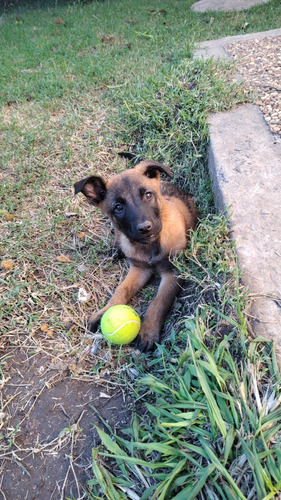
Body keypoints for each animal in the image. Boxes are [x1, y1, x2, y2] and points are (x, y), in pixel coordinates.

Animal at [74, 160, 197, 352]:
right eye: (118, 207)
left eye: (148, 195)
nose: (145, 227)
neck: (149, 246)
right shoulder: (139, 269)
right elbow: (121, 290)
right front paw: (104, 311)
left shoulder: (173, 273)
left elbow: (159, 301)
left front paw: (148, 331)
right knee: (118, 235)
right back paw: (116, 249)